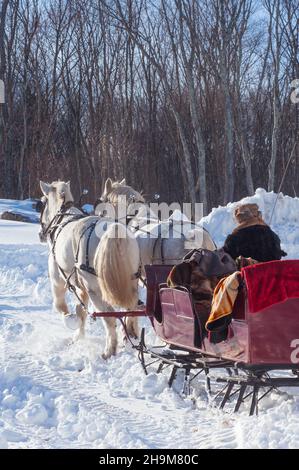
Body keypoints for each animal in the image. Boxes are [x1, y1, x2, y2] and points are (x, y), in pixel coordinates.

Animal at [39, 180, 141, 356]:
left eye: (43, 202)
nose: (41, 234)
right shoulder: (81, 288)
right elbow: (81, 311)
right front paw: (78, 335)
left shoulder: (57, 280)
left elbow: (61, 306)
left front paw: (71, 321)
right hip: (131, 283)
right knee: (131, 310)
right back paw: (130, 338)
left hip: (96, 290)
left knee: (110, 317)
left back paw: (109, 350)